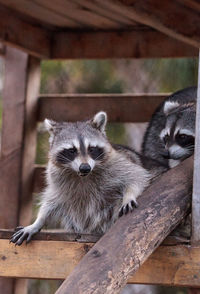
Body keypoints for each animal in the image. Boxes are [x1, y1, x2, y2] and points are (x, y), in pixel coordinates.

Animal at [9, 111, 150, 245]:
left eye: (91, 148)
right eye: (71, 150)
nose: (85, 167)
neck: (82, 175)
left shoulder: (116, 163)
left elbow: (137, 176)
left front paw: (129, 195)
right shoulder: (57, 178)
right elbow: (53, 200)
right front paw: (38, 221)